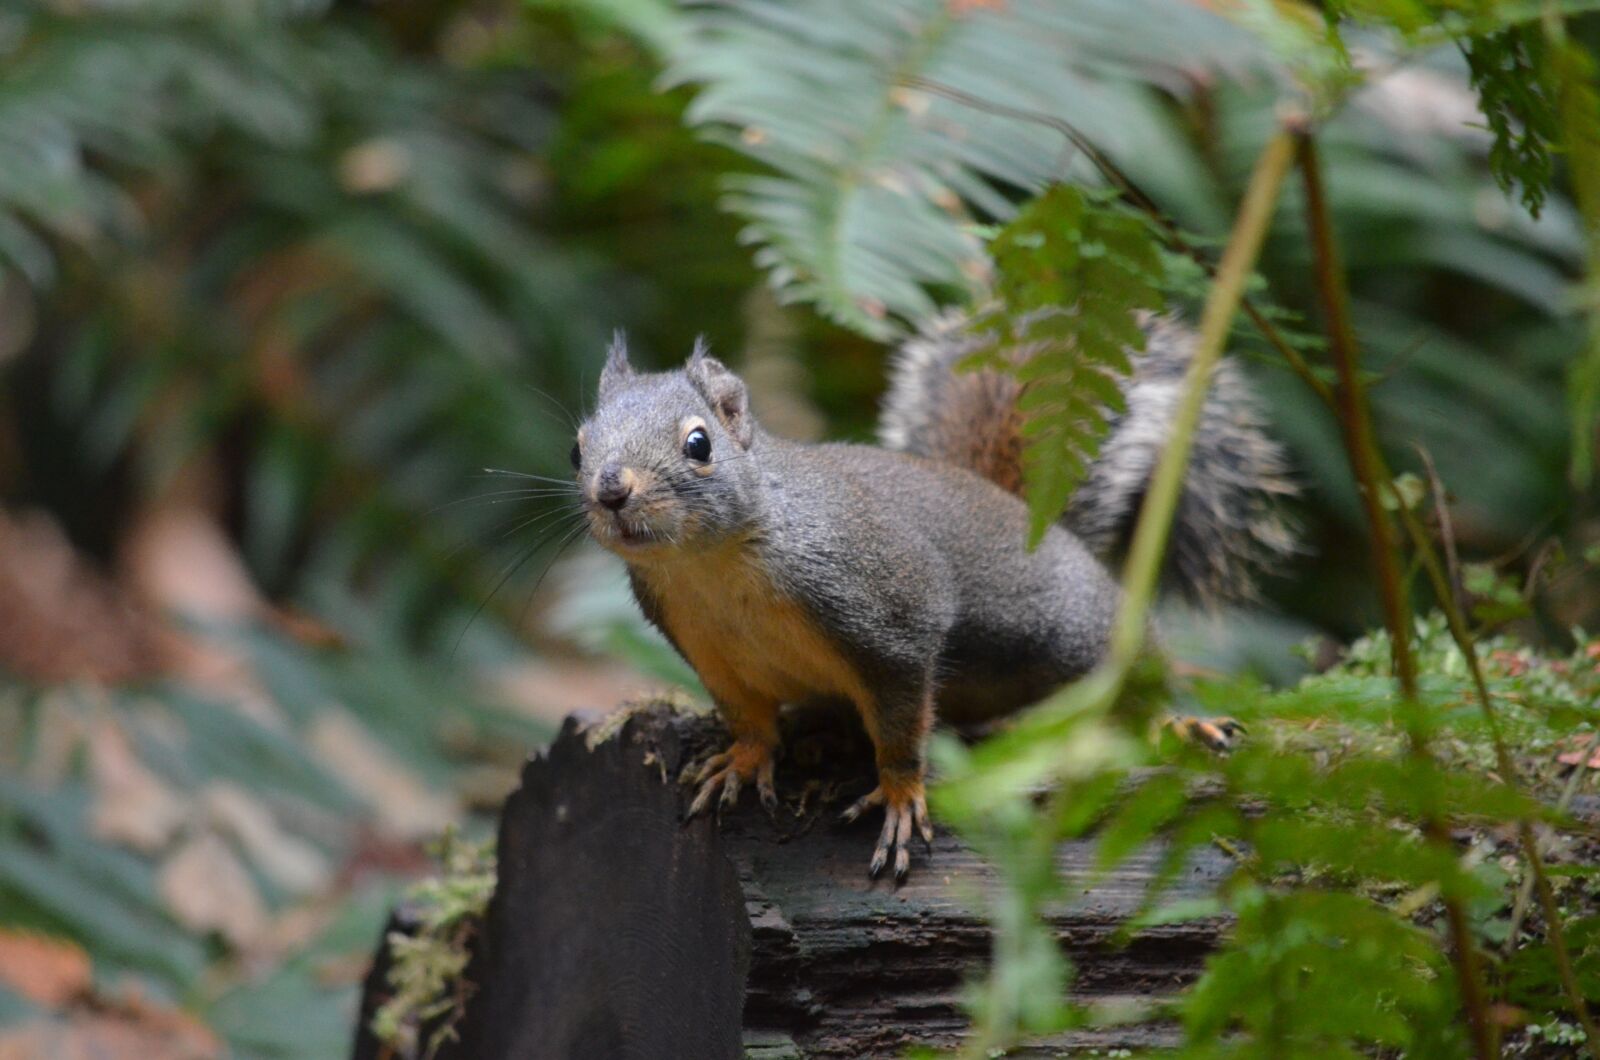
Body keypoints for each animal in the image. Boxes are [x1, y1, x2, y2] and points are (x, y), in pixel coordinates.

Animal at [571, 312, 1295, 880]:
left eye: (699, 444)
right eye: (578, 448)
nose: (611, 489)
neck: (708, 566)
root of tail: (1035, 521)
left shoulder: (888, 614)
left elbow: (899, 722)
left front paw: (899, 796)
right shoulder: (706, 649)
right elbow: (748, 716)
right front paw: (743, 762)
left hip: (1077, 627)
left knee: (1132, 674)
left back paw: (1176, 722)